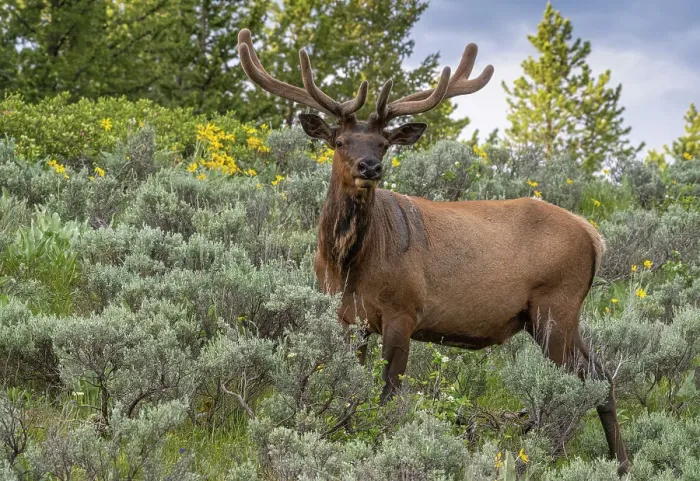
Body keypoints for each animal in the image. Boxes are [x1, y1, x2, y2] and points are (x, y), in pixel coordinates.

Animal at [237, 28, 629, 475]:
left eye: (384, 143)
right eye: (339, 141)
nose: (369, 167)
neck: (347, 265)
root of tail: (593, 235)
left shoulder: (403, 310)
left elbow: (389, 395)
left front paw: (382, 449)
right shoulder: (346, 317)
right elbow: (351, 387)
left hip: (557, 306)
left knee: (595, 377)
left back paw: (616, 462)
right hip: (550, 316)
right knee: (597, 376)